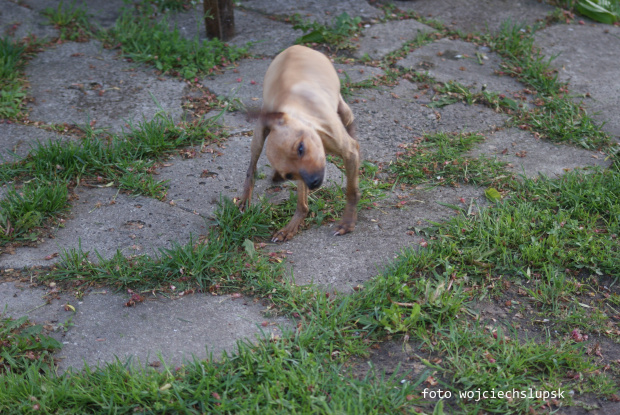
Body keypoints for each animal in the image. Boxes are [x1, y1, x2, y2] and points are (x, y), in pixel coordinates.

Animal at [240, 44, 360, 244]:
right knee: (251, 168)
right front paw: (291, 227)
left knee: (349, 120)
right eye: (289, 175)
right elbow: (302, 204)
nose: (314, 182)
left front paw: (348, 222)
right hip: (258, 136)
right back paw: (245, 199)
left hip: (342, 108)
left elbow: (351, 191)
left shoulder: (349, 152)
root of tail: (295, 46)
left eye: (301, 148)